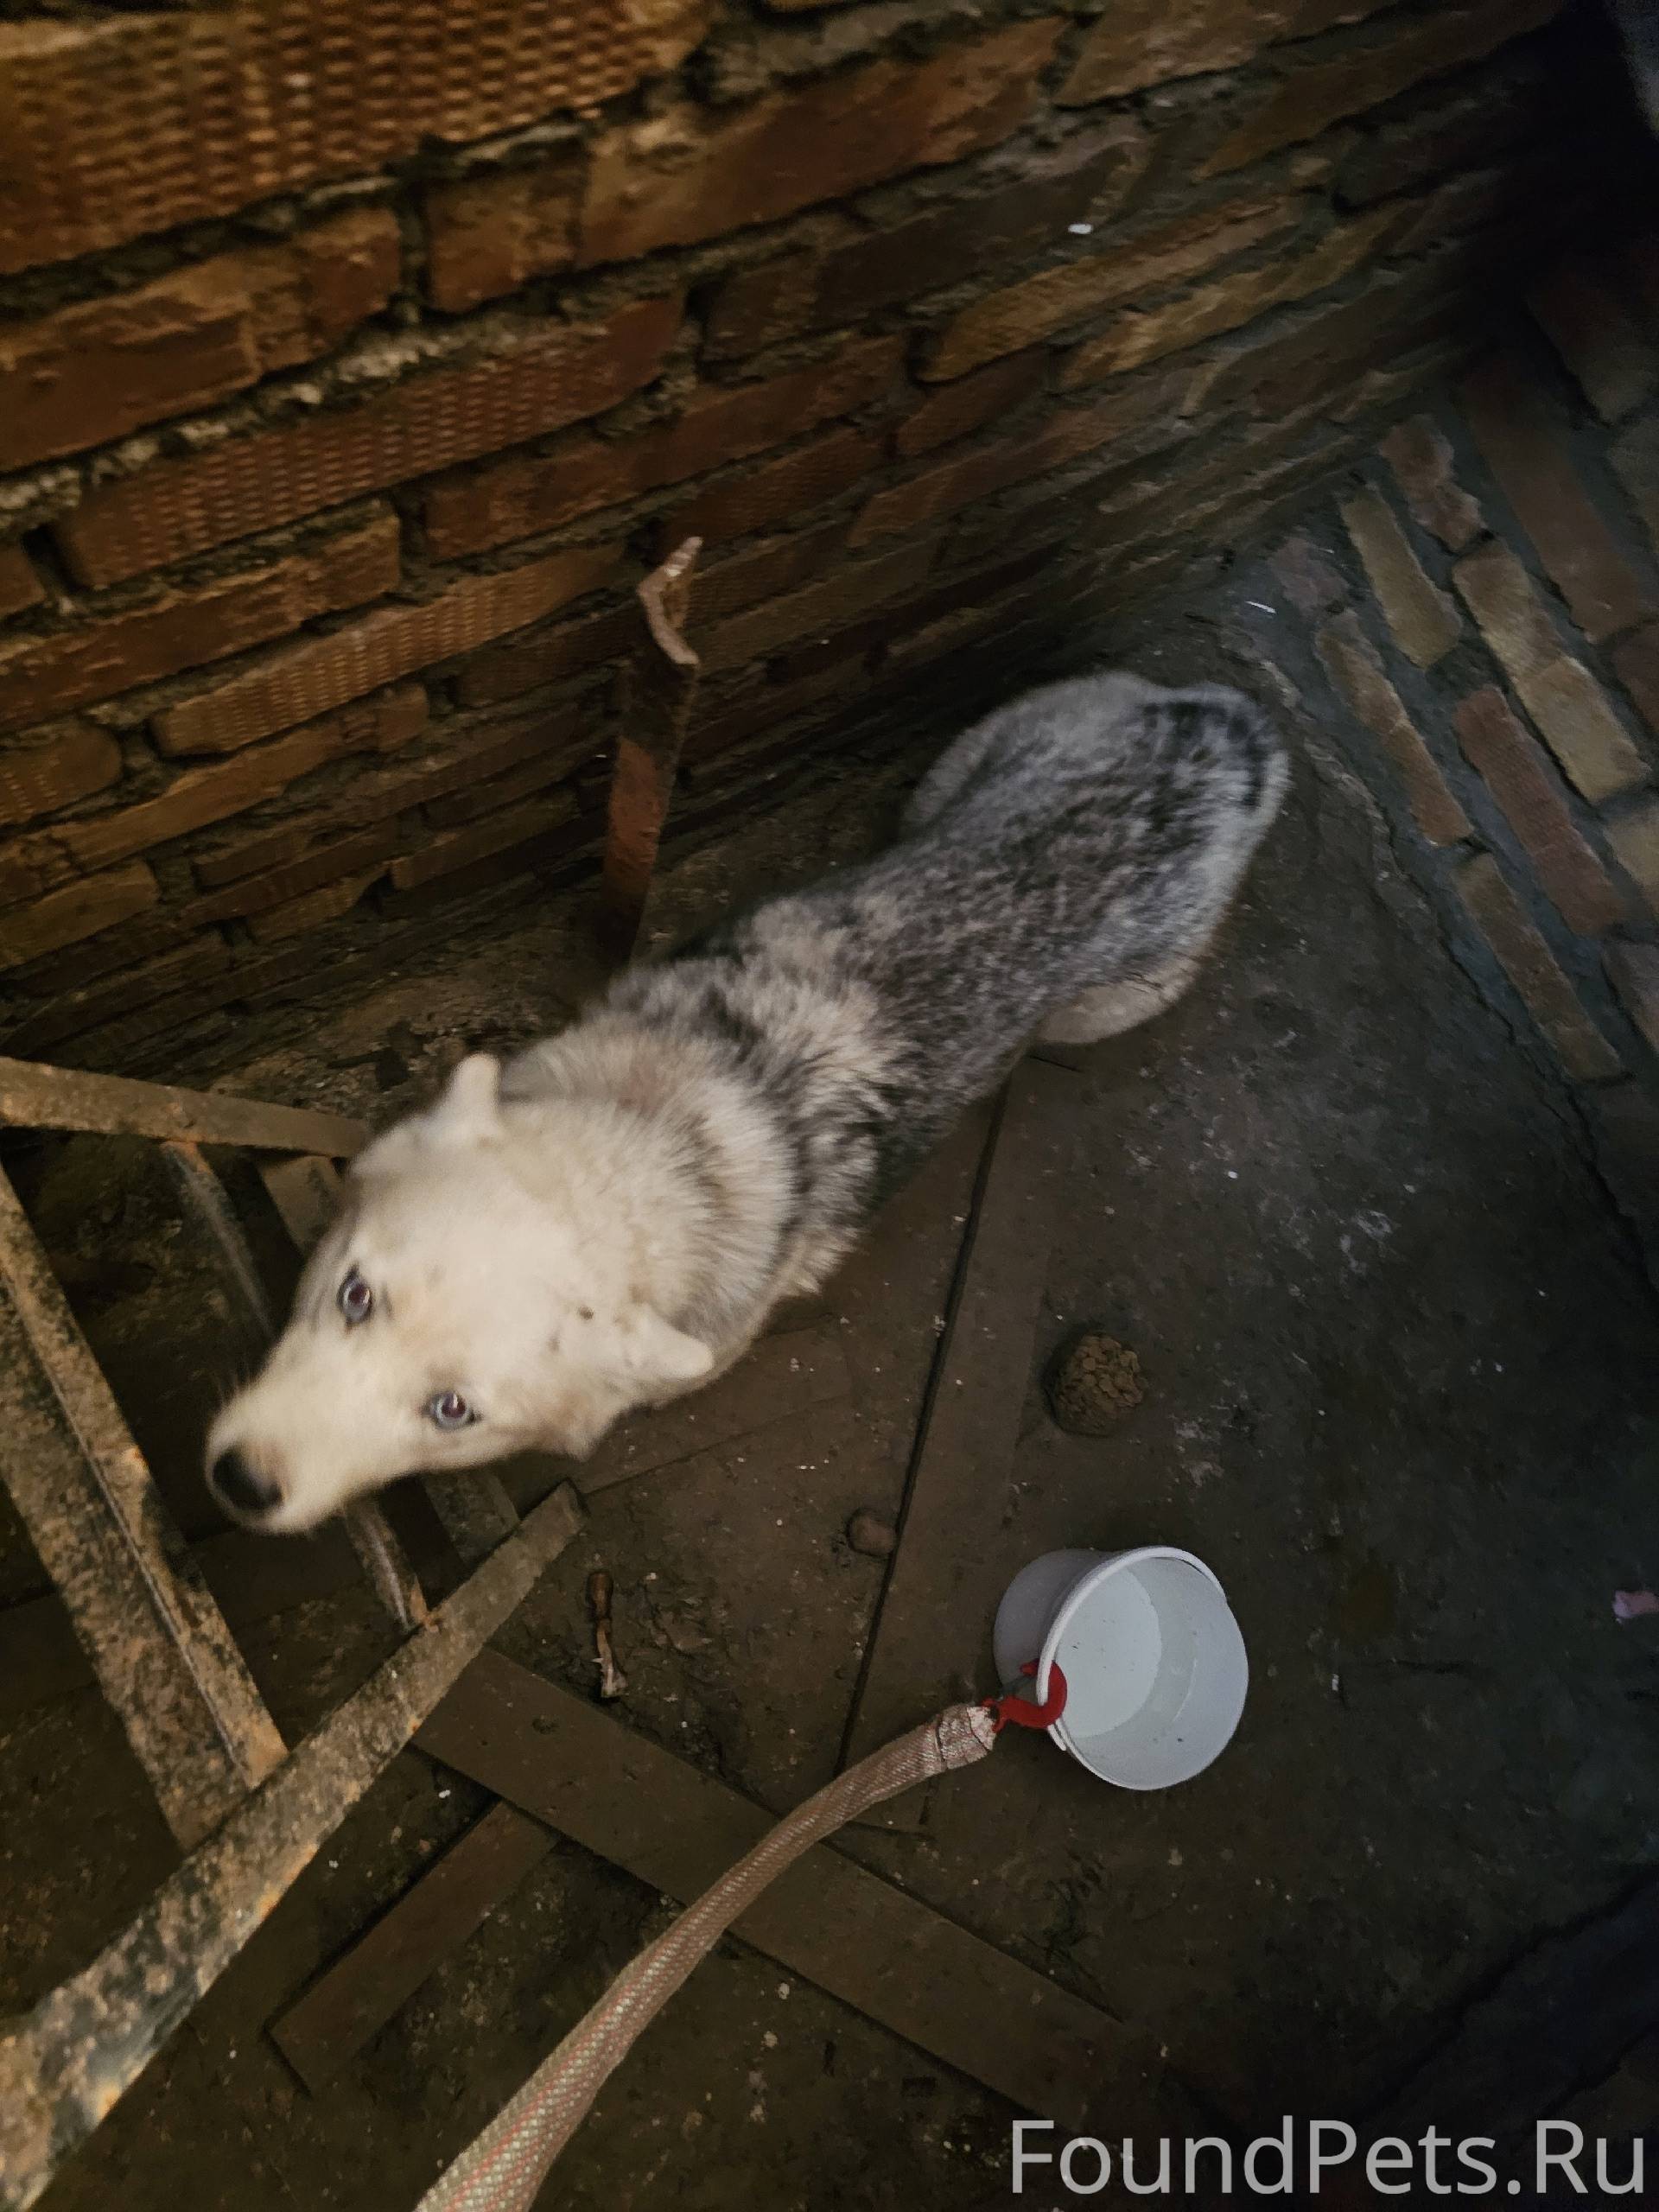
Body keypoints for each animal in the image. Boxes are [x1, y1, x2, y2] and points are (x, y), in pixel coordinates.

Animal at [207, 670, 1286, 1533]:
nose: (239, 1483)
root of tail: (1229, 729)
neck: (662, 1136)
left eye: (453, 1411)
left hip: (1098, 1012)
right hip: (949, 775)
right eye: (353, 1294)